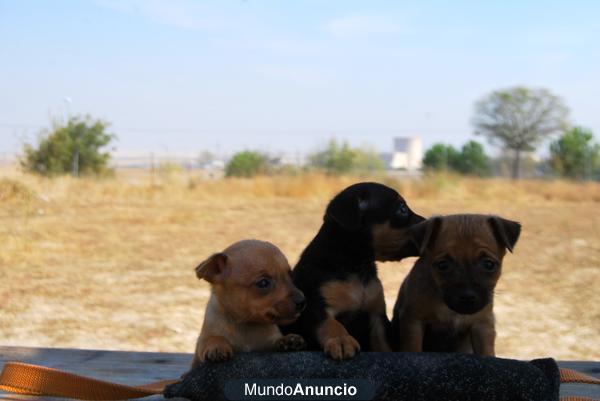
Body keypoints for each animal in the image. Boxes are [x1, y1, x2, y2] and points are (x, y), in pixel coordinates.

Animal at [191, 239, 308, 368]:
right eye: (263, 283)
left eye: (290, 275)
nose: (302, 301)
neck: (246, 326)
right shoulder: (201, 347)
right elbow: (212, 338)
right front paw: (217, 346)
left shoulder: (268, 344)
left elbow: (276, 341)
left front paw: (288, 339)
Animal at [284, 182, 422, 360]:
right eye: (402, 209)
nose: (429, 223)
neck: (357, 267)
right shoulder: (317, 308)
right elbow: (332, 325)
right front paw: (342, 340)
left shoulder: (377, 316)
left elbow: (384, 343)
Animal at [392, 214, 524, 354]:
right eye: (442, 265)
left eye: (489, 264)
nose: (467, 296)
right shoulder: (414, 321)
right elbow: (413, 348)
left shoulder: (482, 325)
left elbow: (486, 352)